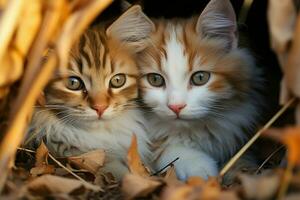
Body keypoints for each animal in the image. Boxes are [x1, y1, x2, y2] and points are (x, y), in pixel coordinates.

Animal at [109, 0, 262, 180]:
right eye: (155, 80)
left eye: (200, 78)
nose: (176, 107)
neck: (194, 130)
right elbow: (164, 148)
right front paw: (201, 169)